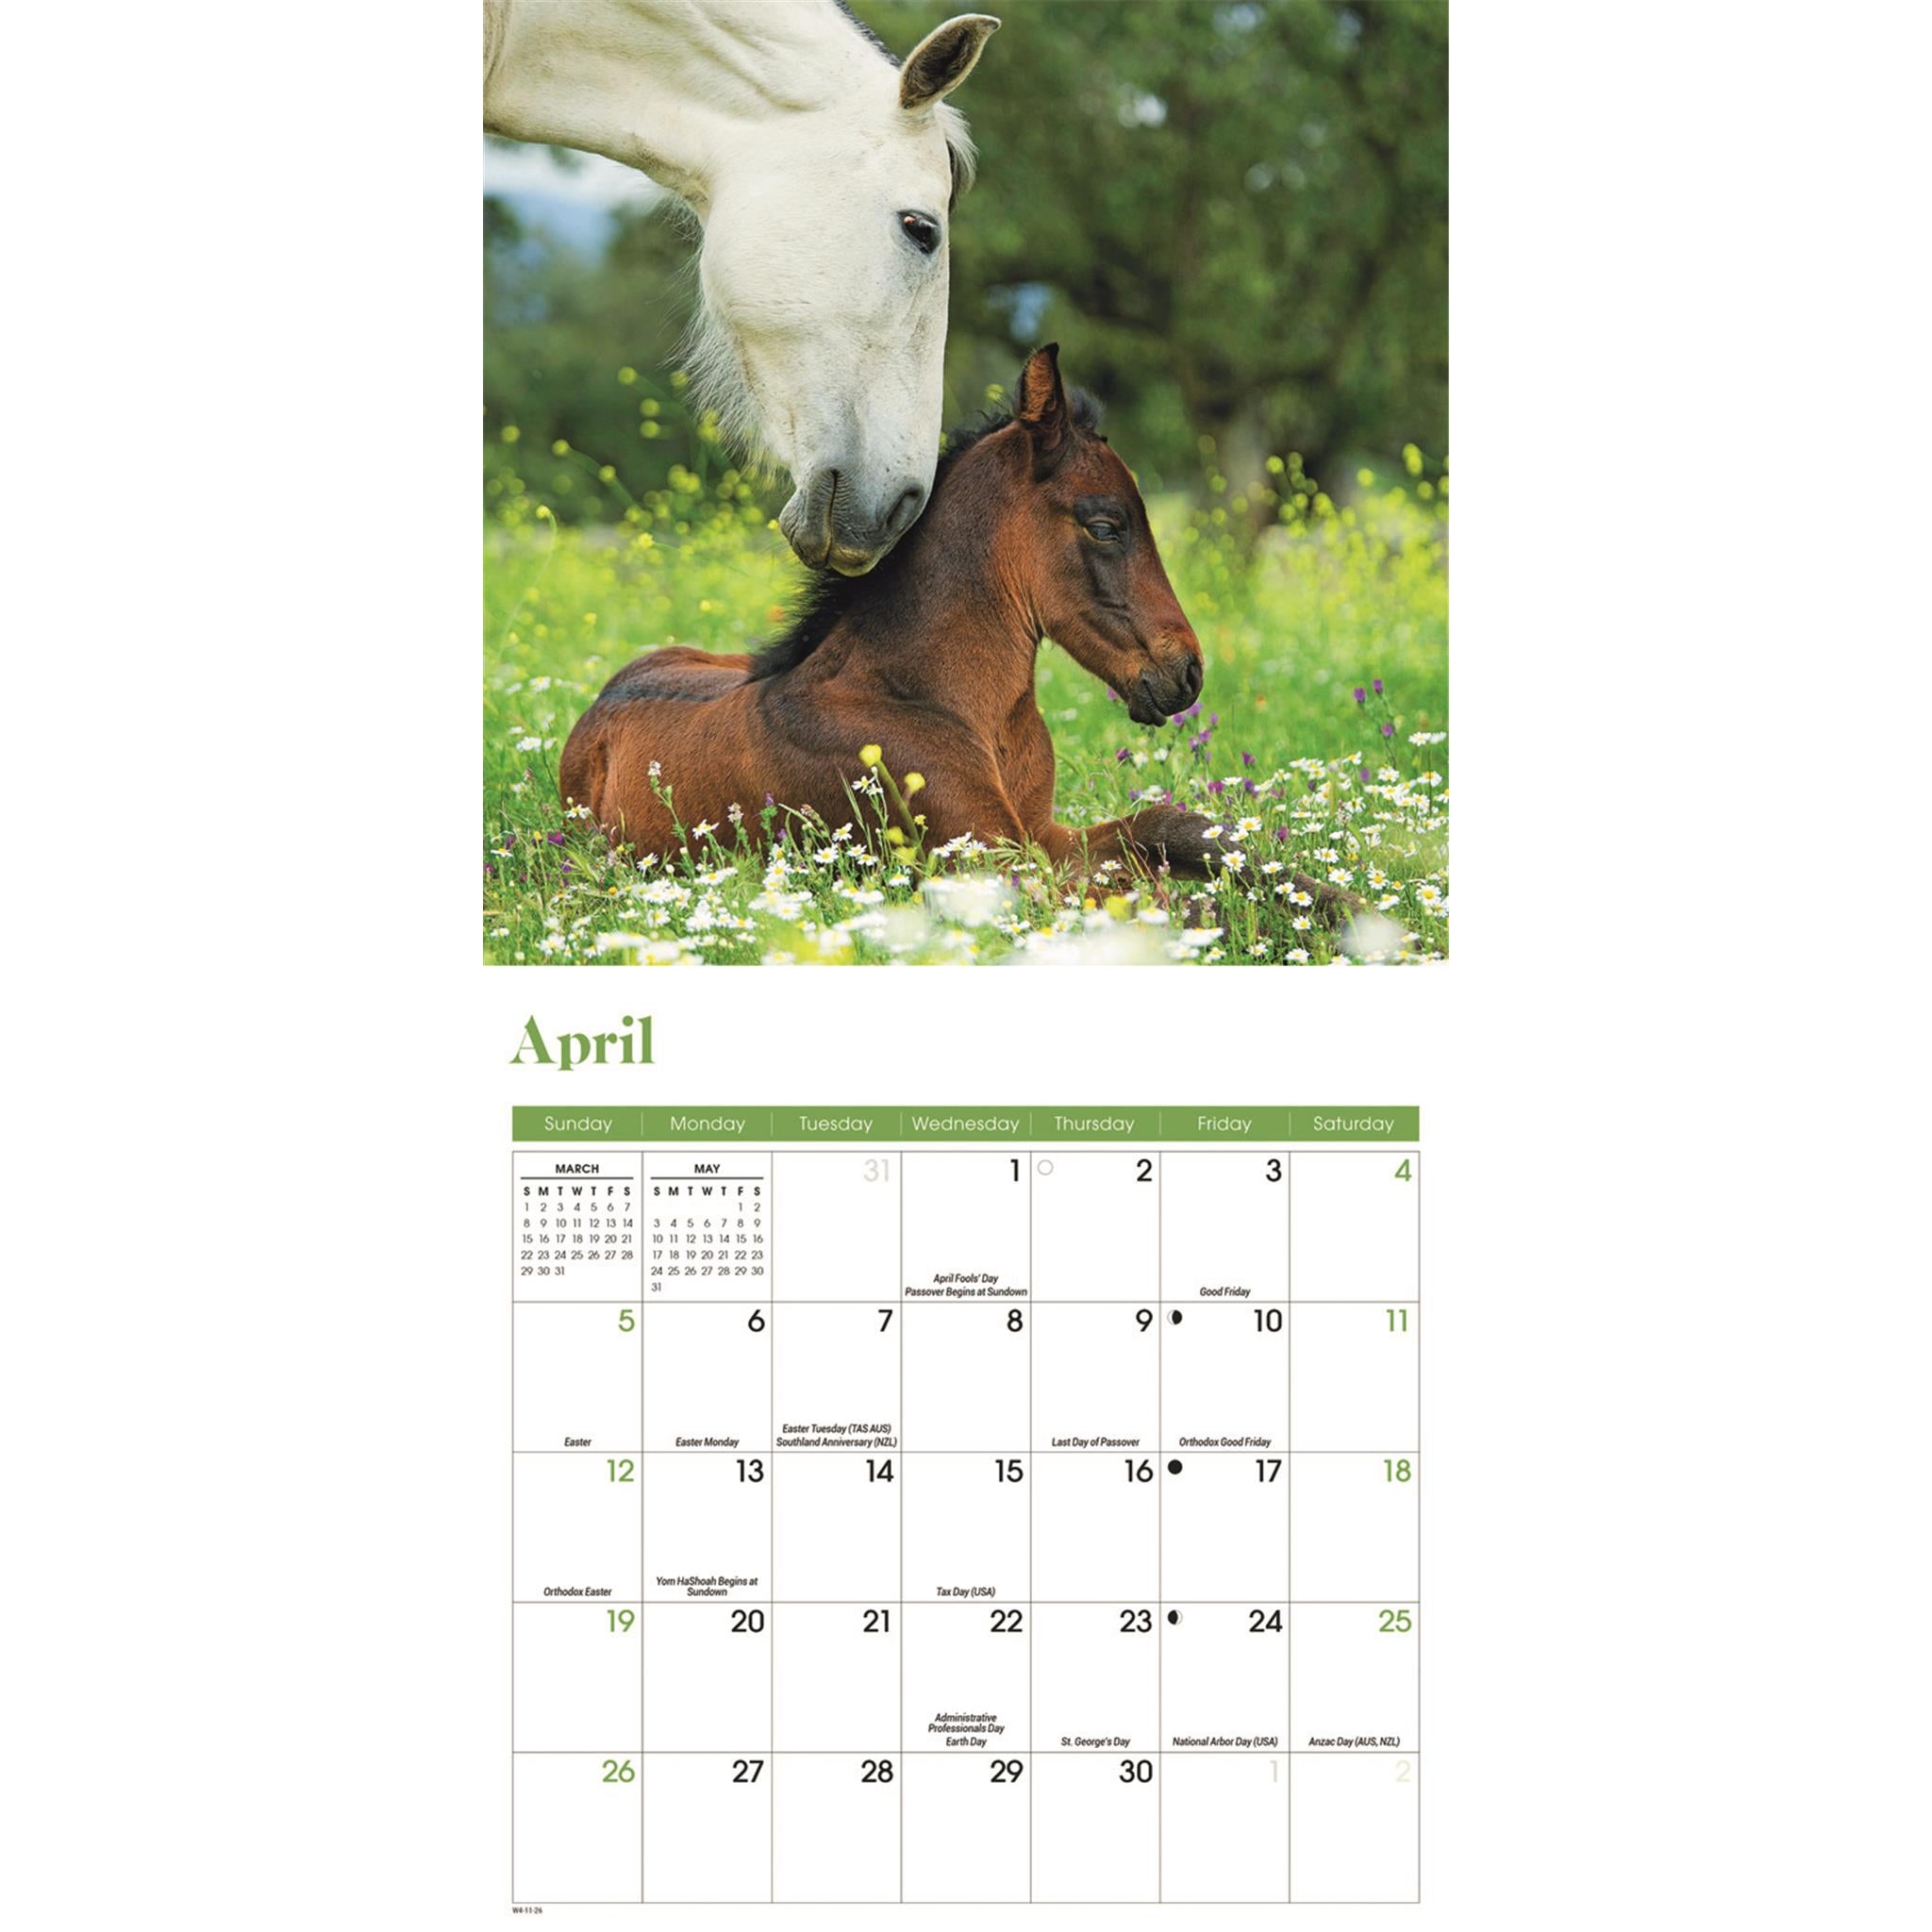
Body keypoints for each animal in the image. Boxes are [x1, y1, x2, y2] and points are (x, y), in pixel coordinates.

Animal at [563, 344, 1281, 895]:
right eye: (1105, 525)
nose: (1186, 672)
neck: (944, 701)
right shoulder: (989, 856)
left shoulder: (1041, 833)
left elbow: (1172, 828)